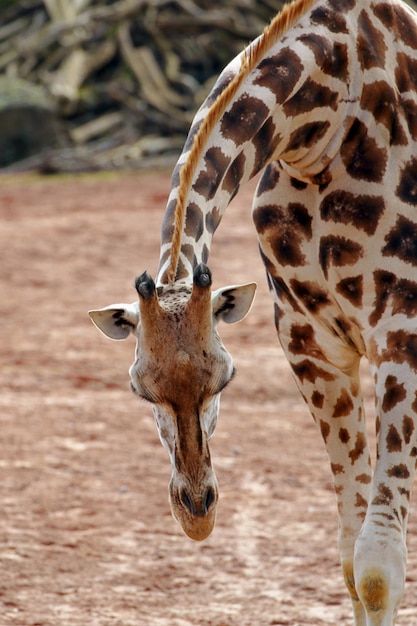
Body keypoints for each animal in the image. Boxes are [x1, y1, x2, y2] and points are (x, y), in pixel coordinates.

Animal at [89, 1, 416, 620]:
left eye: (225, 379)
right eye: (141, 390)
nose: (197, 512)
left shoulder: (401, 331)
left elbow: (379, 567)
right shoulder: (311, 344)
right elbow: (350, 559)